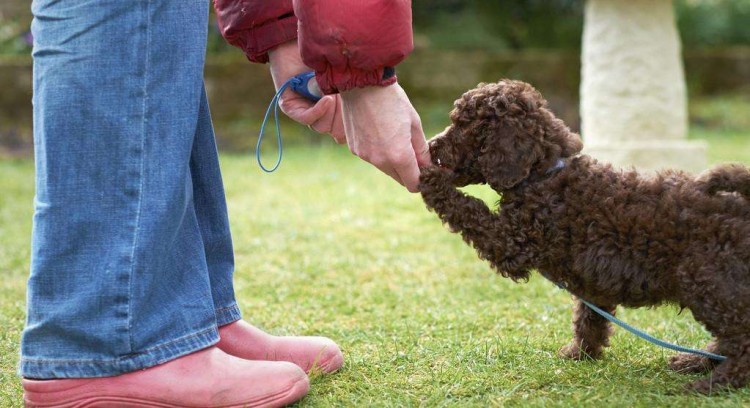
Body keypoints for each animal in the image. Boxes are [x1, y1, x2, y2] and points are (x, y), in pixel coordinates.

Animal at [420, 78, 750, 394]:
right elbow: (588, 317)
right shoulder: (594, 281)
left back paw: (714, 382)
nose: (431, 145)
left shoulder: (512, 242)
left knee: (741, 338)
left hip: (709, 282)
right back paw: (696, 362)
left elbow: (469, 209)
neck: (544, 174)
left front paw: (431, 179)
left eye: (465, 125)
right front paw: (580, 353)